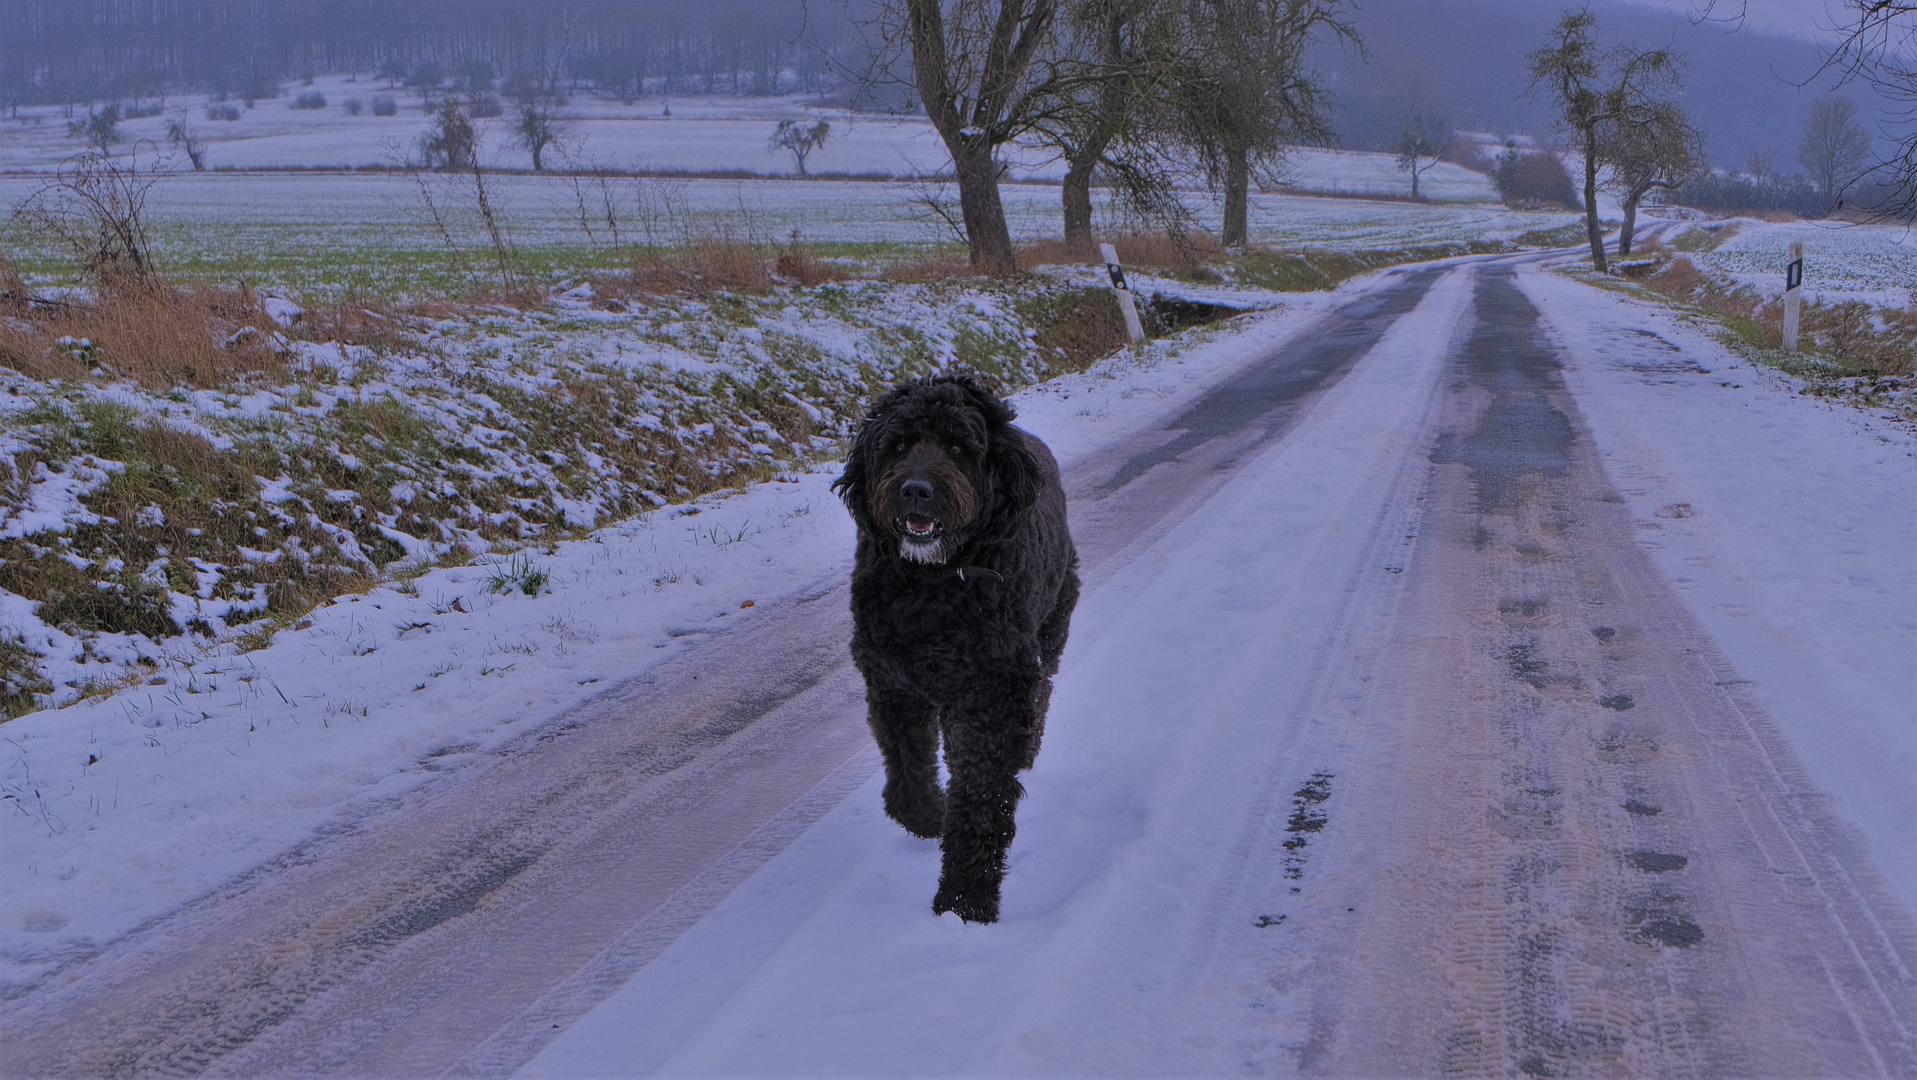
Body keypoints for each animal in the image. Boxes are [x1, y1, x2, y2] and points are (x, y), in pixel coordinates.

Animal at [835, 372, 1088, 920]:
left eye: (958, 447)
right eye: (898, 445)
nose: (915, 489)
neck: (932, 584)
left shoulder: (990, 696)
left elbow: (980, 798)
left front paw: (964, 900)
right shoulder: (892, 683)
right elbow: (907, 772)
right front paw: (929, 816)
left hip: (1053, 622)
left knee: (1043, 687)